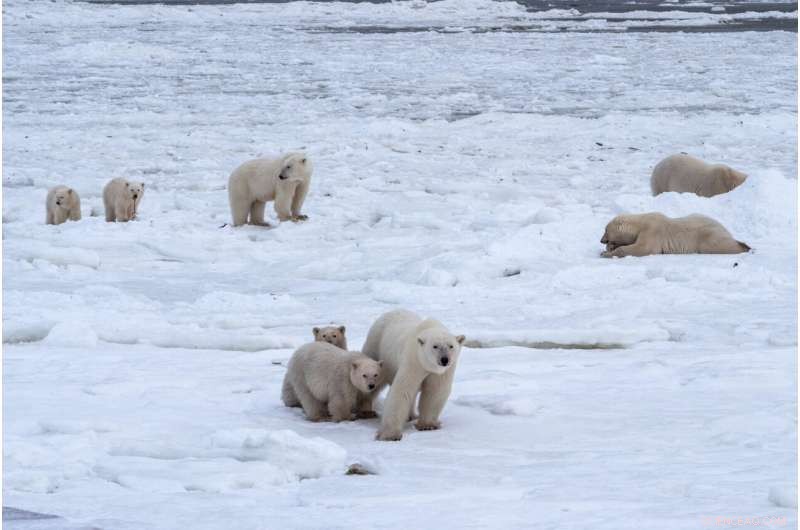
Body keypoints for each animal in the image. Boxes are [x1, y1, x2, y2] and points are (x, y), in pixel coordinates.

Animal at [362, 309, 465, 441]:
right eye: (435, 346)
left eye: (451, 346)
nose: (444, 359)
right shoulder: (413, 361)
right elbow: (403, 390)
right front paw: (390, 435)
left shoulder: (443, 372)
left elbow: (435, 392)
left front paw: (428, 425)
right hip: (375, 347)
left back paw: (411, 416)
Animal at [600, 212, 750, 258]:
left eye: (605, 230)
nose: (602, 240)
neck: (639, 224)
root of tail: (724, 228)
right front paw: (609, 248)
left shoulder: (652, 231)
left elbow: (643, 248)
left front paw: (606, 253)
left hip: (707, 236)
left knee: (717, 245)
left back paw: (744, 246)